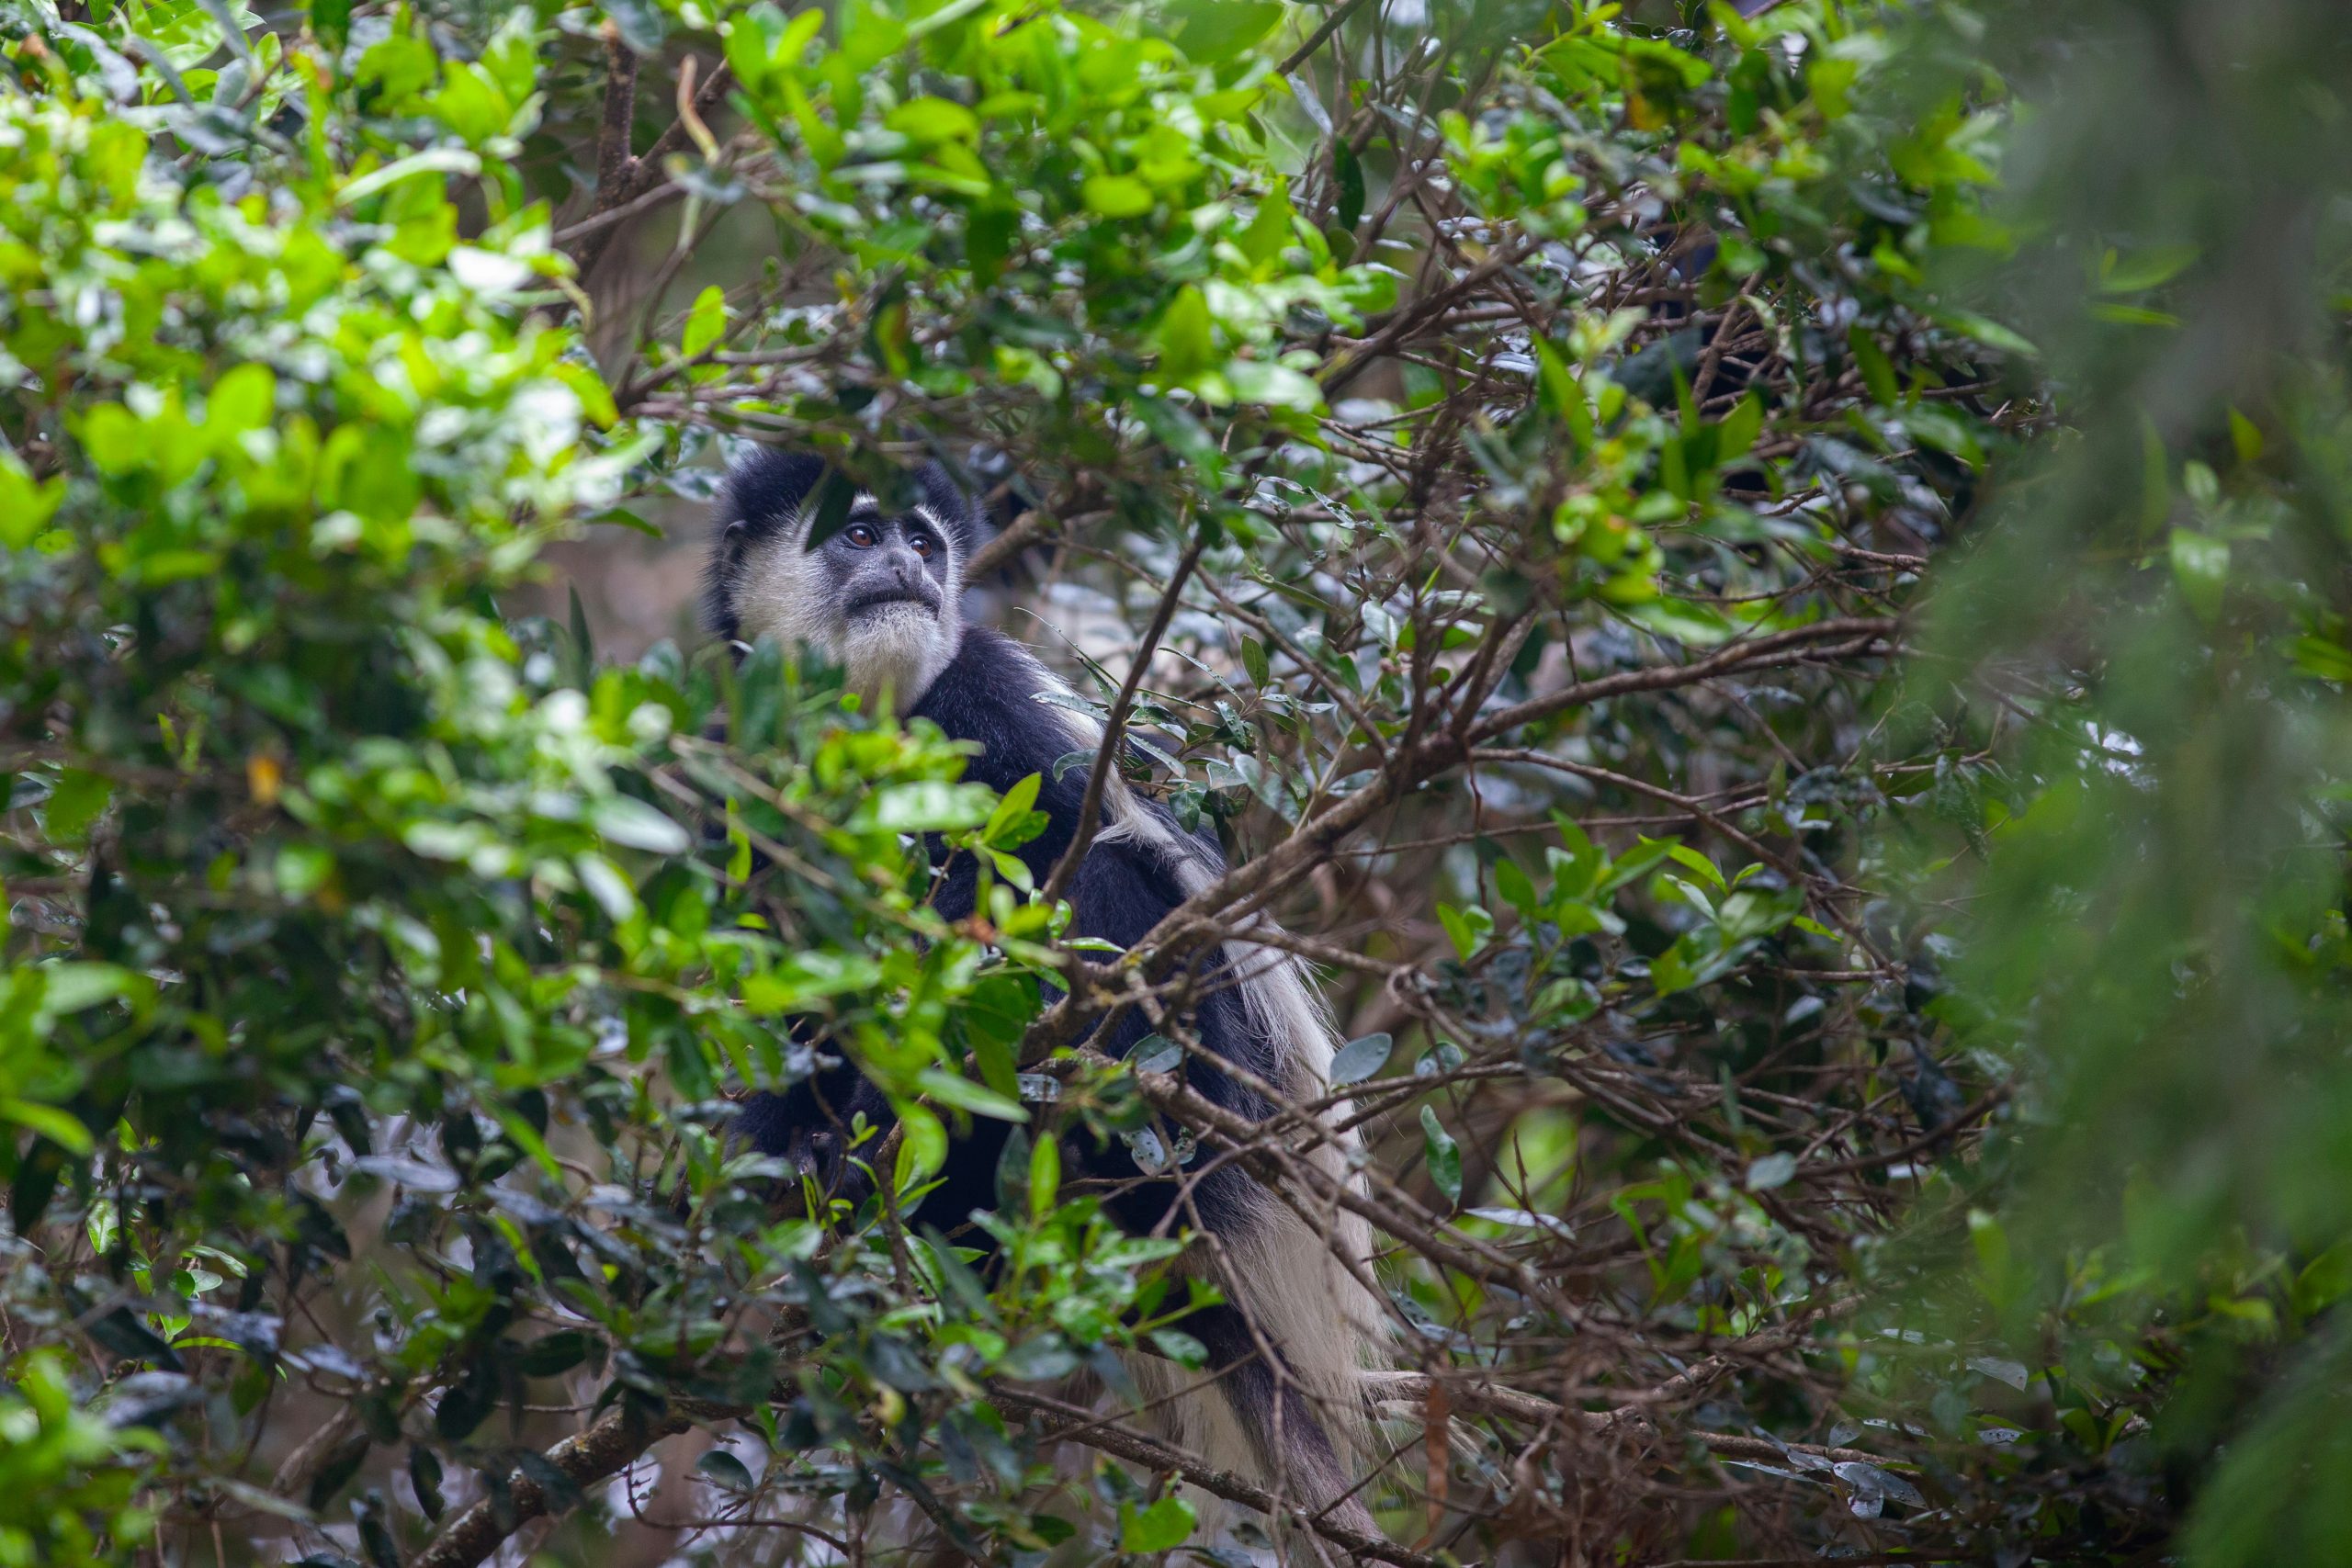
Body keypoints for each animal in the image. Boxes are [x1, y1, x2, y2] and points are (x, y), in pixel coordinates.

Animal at [703, 449, 1385, 1540]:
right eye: (860, 535)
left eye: (923, 540)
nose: (910, 566)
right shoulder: (738, 752)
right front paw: (793, 1142)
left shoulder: (978, 694)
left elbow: (1065, 838)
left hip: (1191, 1097)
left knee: (1087, 886)